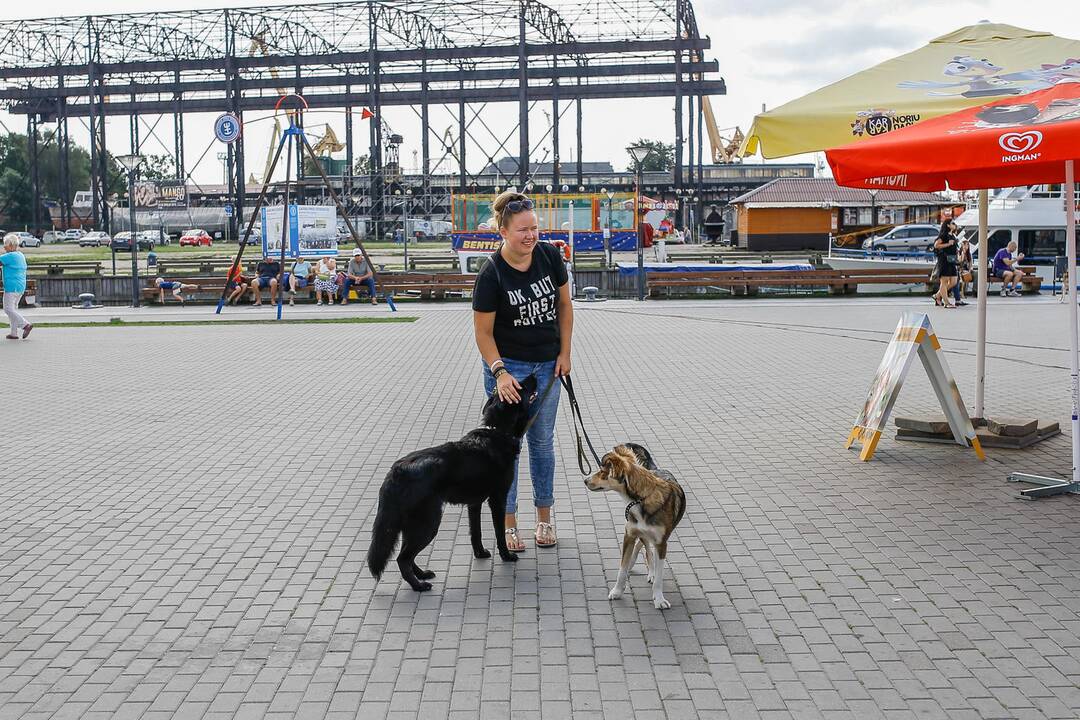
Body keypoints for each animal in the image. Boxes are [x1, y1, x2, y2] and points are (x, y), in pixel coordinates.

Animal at [367, 371, 540, 591]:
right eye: (521, 386)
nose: (534, 374)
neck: (497, 431)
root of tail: (396, 472)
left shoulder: (474, 503)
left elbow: (476, 532)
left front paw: (480, 553)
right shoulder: (497, 499)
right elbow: (499, 532)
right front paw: (507, 555)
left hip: (412, 524)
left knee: (406, 555)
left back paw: (422, 574)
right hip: (428, 522)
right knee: (402, 558)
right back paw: (418, 585)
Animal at [587, 444, 686, 608]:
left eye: (603, 472)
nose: (585, 480)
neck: (641, 499)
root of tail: (656, 468)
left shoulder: (661, 543)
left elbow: (659, 574)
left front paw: (659, 599)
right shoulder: (629, 535)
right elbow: (622, 568)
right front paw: (617, 591)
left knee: (646, 548)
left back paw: (651, 573)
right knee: (644, 546)